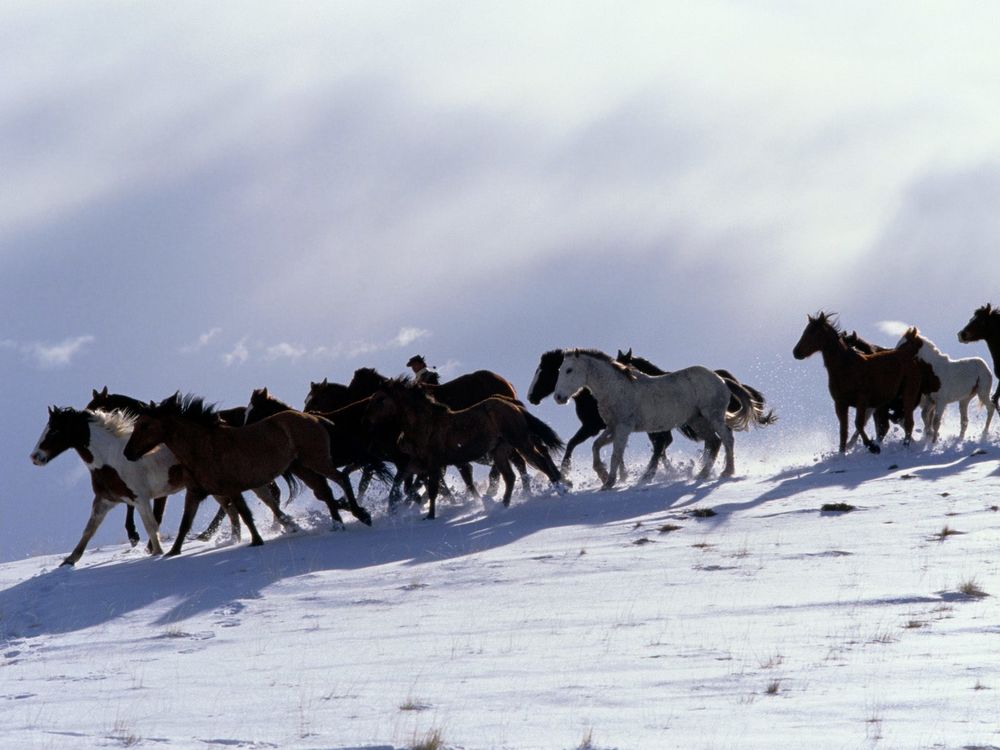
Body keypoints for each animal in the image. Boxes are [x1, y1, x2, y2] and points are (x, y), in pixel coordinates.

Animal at [30, 407, 248, 566]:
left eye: (55, 430)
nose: (35, 457)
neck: (110, 459)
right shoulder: (105, 501)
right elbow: (89, 530)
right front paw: (70, 560)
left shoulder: (140, 499)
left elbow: (151, 527)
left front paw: (157, 553)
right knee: (230, 509)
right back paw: (233, 539)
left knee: (230, 508)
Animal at [123, 393, 372, 557]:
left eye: (144, 425)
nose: (127, 453)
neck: (203, 448)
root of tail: (314, 418)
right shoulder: (195, 492)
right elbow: (186, 523)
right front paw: (172, 552)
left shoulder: (232, 489)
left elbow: (244, 514)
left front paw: (256, 541)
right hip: (301, 467)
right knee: (325, 491)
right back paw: (338, 524)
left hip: (316, 460)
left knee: (340, 479)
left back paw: (362, 515)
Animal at [365, 379, 564, 519]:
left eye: (380, 399)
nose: (366, 420)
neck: (426, 425)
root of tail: (514, 405)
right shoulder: (418, 463)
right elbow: (400, 483)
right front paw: (394, 509)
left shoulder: (434, 464)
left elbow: (433, 489)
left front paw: (430, 516)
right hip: (500, 451)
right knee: (511, 476)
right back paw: (502, 505)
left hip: (520, 442)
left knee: (540, 462)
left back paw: (560, 488)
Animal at [528, 349, 774, 483]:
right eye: (559, 371)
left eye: (568, 370)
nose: (559, 397)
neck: (615, 388)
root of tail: (721, 379)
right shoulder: (611, 427)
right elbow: (597, 447)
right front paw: (604, 475)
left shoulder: (623, 428)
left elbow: (616, 454)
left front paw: (610, 481)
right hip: (696, 421)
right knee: (713, 442)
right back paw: (702, 473)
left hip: (712, 416)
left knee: (726, 439)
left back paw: (726, 471)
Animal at [793, 312, 924, 453]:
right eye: (806, 331)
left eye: (813, 332)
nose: (796, 352)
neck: (846, 367)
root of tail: (909, 355)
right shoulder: (840, 404)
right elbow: (843, 431)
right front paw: (842, 452)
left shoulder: (862, 401)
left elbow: (858, 424)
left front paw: (872, 447)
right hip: (884, 403)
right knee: (888, 425)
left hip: (908, 395)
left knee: (908, 423)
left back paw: (904, 446)